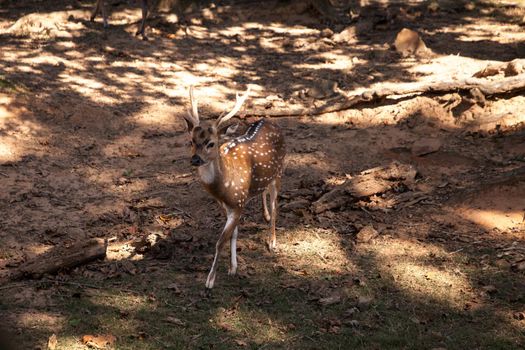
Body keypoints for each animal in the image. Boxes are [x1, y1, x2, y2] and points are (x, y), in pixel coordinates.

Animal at [181, 86, 286, 288]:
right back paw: (265, 215)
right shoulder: (225, 205)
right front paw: (233, 267)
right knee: (264, 192)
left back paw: (272, 241)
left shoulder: (238, 203)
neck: (224, 188)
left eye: (211, 143)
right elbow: (234, 234)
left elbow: (220, 241)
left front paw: (210, 281)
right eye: (191, 141)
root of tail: (271, 121)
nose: (195, 159)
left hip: (279, 171)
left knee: (276, 204)